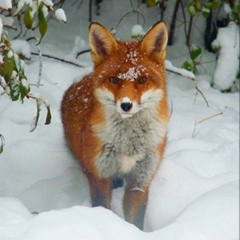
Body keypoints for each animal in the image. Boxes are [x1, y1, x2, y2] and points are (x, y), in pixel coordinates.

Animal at [61, 21, 169, 230]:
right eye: (114, 80)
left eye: (142, 80)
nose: (126, 105)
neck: (128, 145)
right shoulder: (100, 176)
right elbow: (102, 208)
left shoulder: (140, 180)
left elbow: (136, 219)